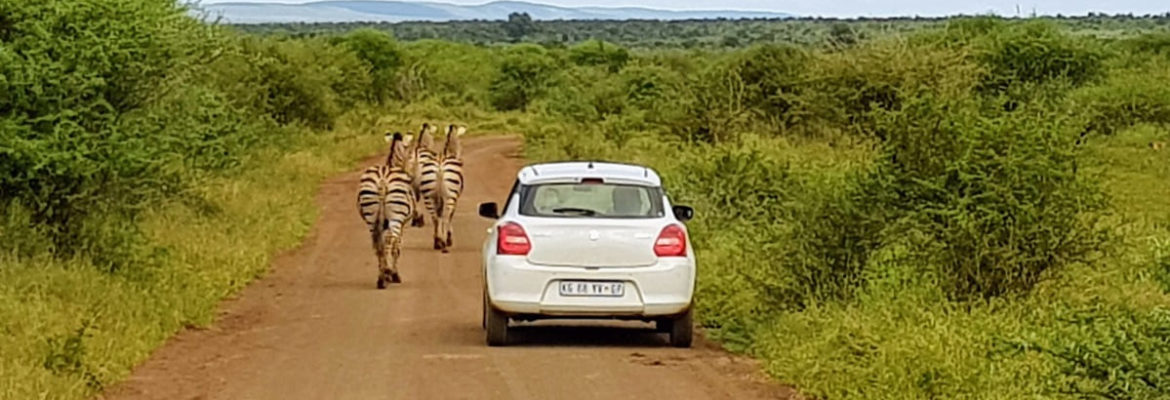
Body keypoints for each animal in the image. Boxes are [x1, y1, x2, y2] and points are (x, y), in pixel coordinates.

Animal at [358, 132, 418, 288]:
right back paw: (388, 275)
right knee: (390, 240)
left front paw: (387, 272)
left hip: (371, 217)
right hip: (396, 217)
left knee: (377, 243)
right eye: (409, 154)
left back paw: (381, 278)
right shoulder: (402, 224)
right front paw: (394, 274)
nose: (412, 176)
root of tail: (383, 180)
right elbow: (397, 246)